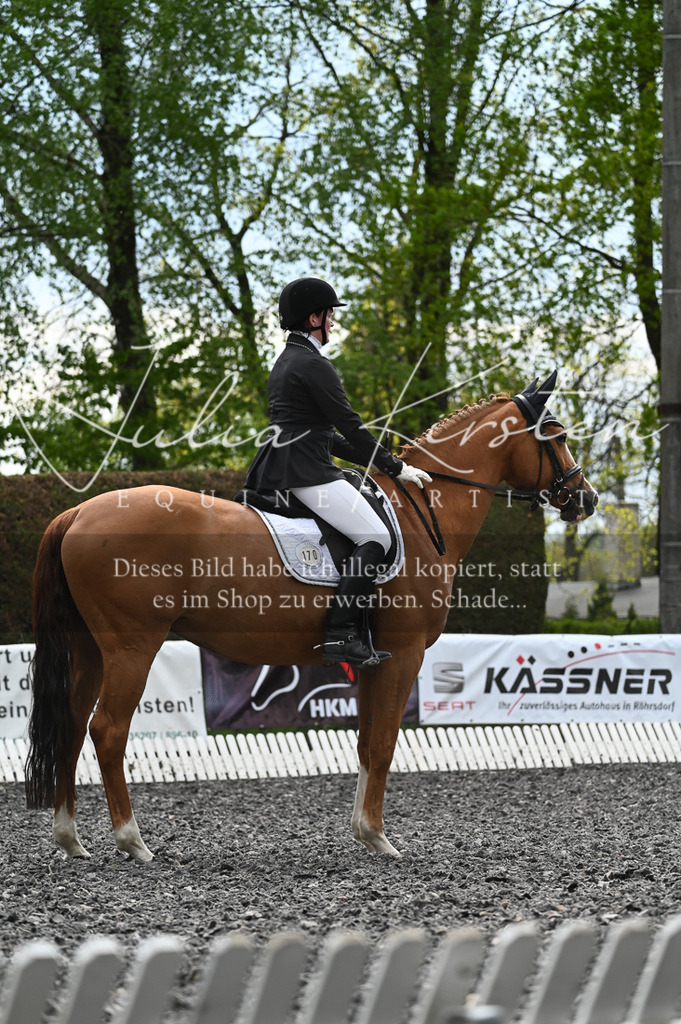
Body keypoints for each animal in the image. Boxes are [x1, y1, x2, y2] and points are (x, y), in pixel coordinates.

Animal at [25, 371, 598, 862]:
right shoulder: (404, 655)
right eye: (557, 435)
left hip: (89, 649)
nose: (586, 499)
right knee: (108, 730)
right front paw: (380, 838)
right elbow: (385, 743)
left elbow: (366, 742)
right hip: (131, 648)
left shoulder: (373, 660)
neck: (421, 514)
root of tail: (78, 512)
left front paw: (365, 833)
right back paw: (133, 842)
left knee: (71, 726)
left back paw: (71, 839)